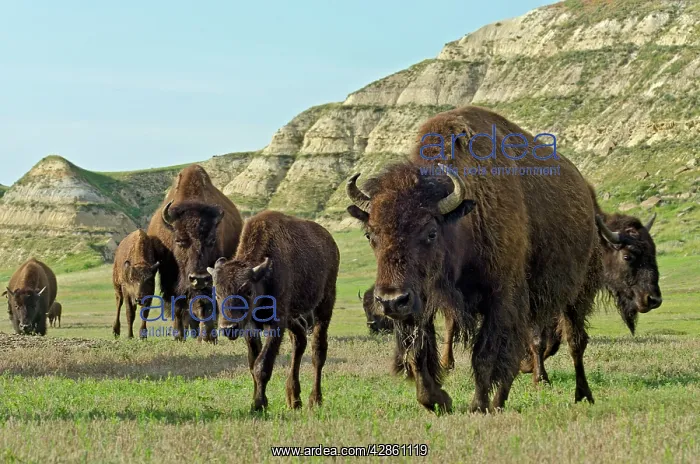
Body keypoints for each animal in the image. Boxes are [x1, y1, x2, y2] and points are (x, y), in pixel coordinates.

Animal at [147, 164, 243, 342]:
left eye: (212, 240)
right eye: (179, 240)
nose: (199, 278)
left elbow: (205, 305)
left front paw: (208, 338)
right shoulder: (170, 278)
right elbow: (178, 305)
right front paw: (178, 336)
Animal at [207, 210, 339, 411]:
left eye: (248, 290)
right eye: (218, 293)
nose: (228, 328)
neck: (264, 275)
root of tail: (330, 242)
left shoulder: (276, 323)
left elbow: (262, 365)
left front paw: (258, 404)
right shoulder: (251, 327)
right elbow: (253, 362)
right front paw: (258, 401)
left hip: (325, 303)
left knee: (318, 351)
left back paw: (315, 399)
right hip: (292, 317)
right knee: (299, 341)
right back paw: (294, 399)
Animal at [346, 106, 602, 413]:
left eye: (431, 232)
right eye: (370, 234)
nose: (391, 300)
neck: (465, 218)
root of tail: (587, 194)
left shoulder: (500, 297)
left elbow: (485, 355)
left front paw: (477, 406)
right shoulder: (421, 300)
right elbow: (417, 351)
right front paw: (437, 400)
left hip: (578, 293)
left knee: (575, 342)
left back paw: (583, 395)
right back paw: (501, 402)